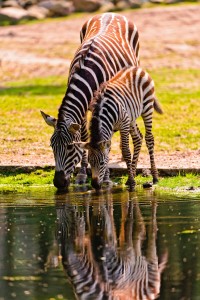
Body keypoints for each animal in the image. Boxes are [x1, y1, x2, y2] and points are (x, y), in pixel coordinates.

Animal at [40, 12, 140, 190]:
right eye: (52, 146)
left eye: (69, 147)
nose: (58, 183)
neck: (86, 75)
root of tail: (111, 13)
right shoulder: (82, 109)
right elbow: (85, 136)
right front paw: (81, 175)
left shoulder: (103, 105)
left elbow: (104, 140)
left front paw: (105, 178)